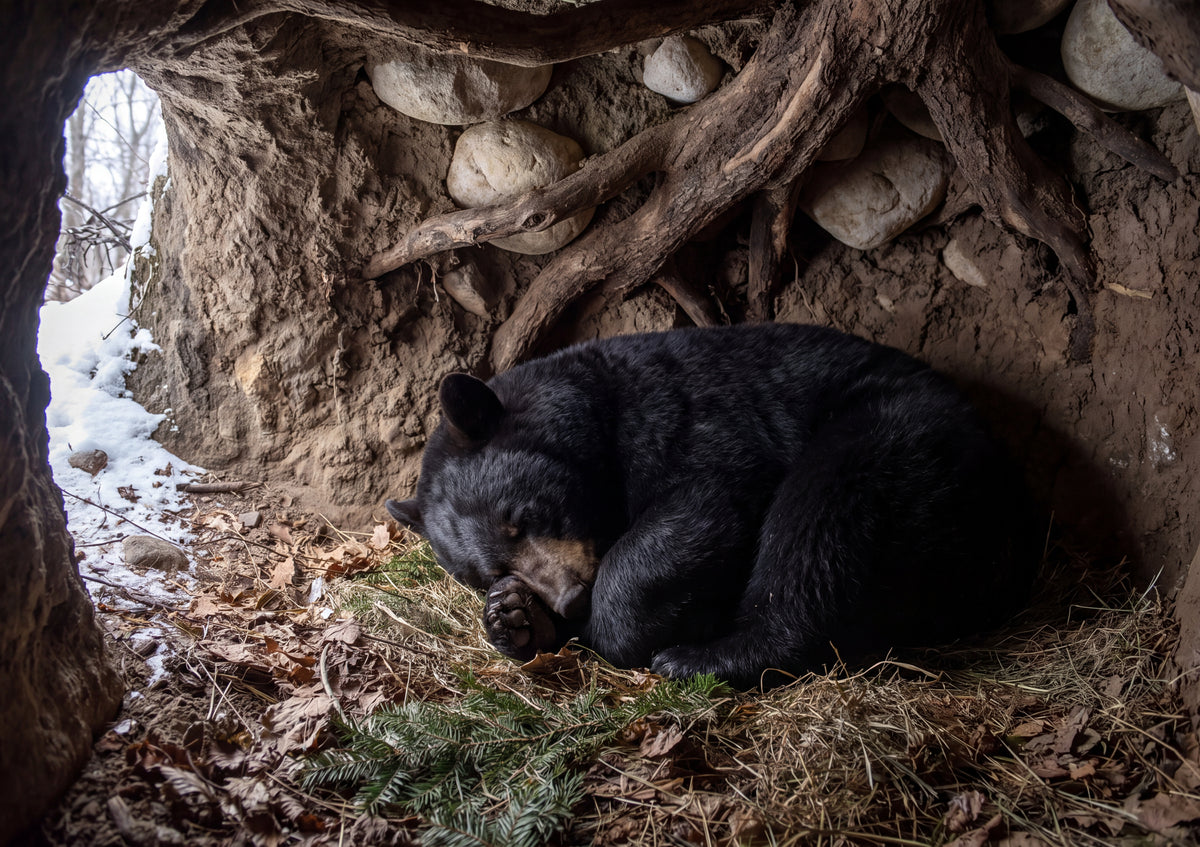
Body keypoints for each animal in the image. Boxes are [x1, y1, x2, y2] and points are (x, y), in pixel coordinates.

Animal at [386, 323, 1039, 688]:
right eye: (488, 570)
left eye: (521, 519)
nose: (569, 599)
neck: (599, 415)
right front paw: (516, 618)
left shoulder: (683, 424)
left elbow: (703, 508)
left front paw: (615, 626)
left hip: (896, 441)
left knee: (819, 532)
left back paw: (704, 658)